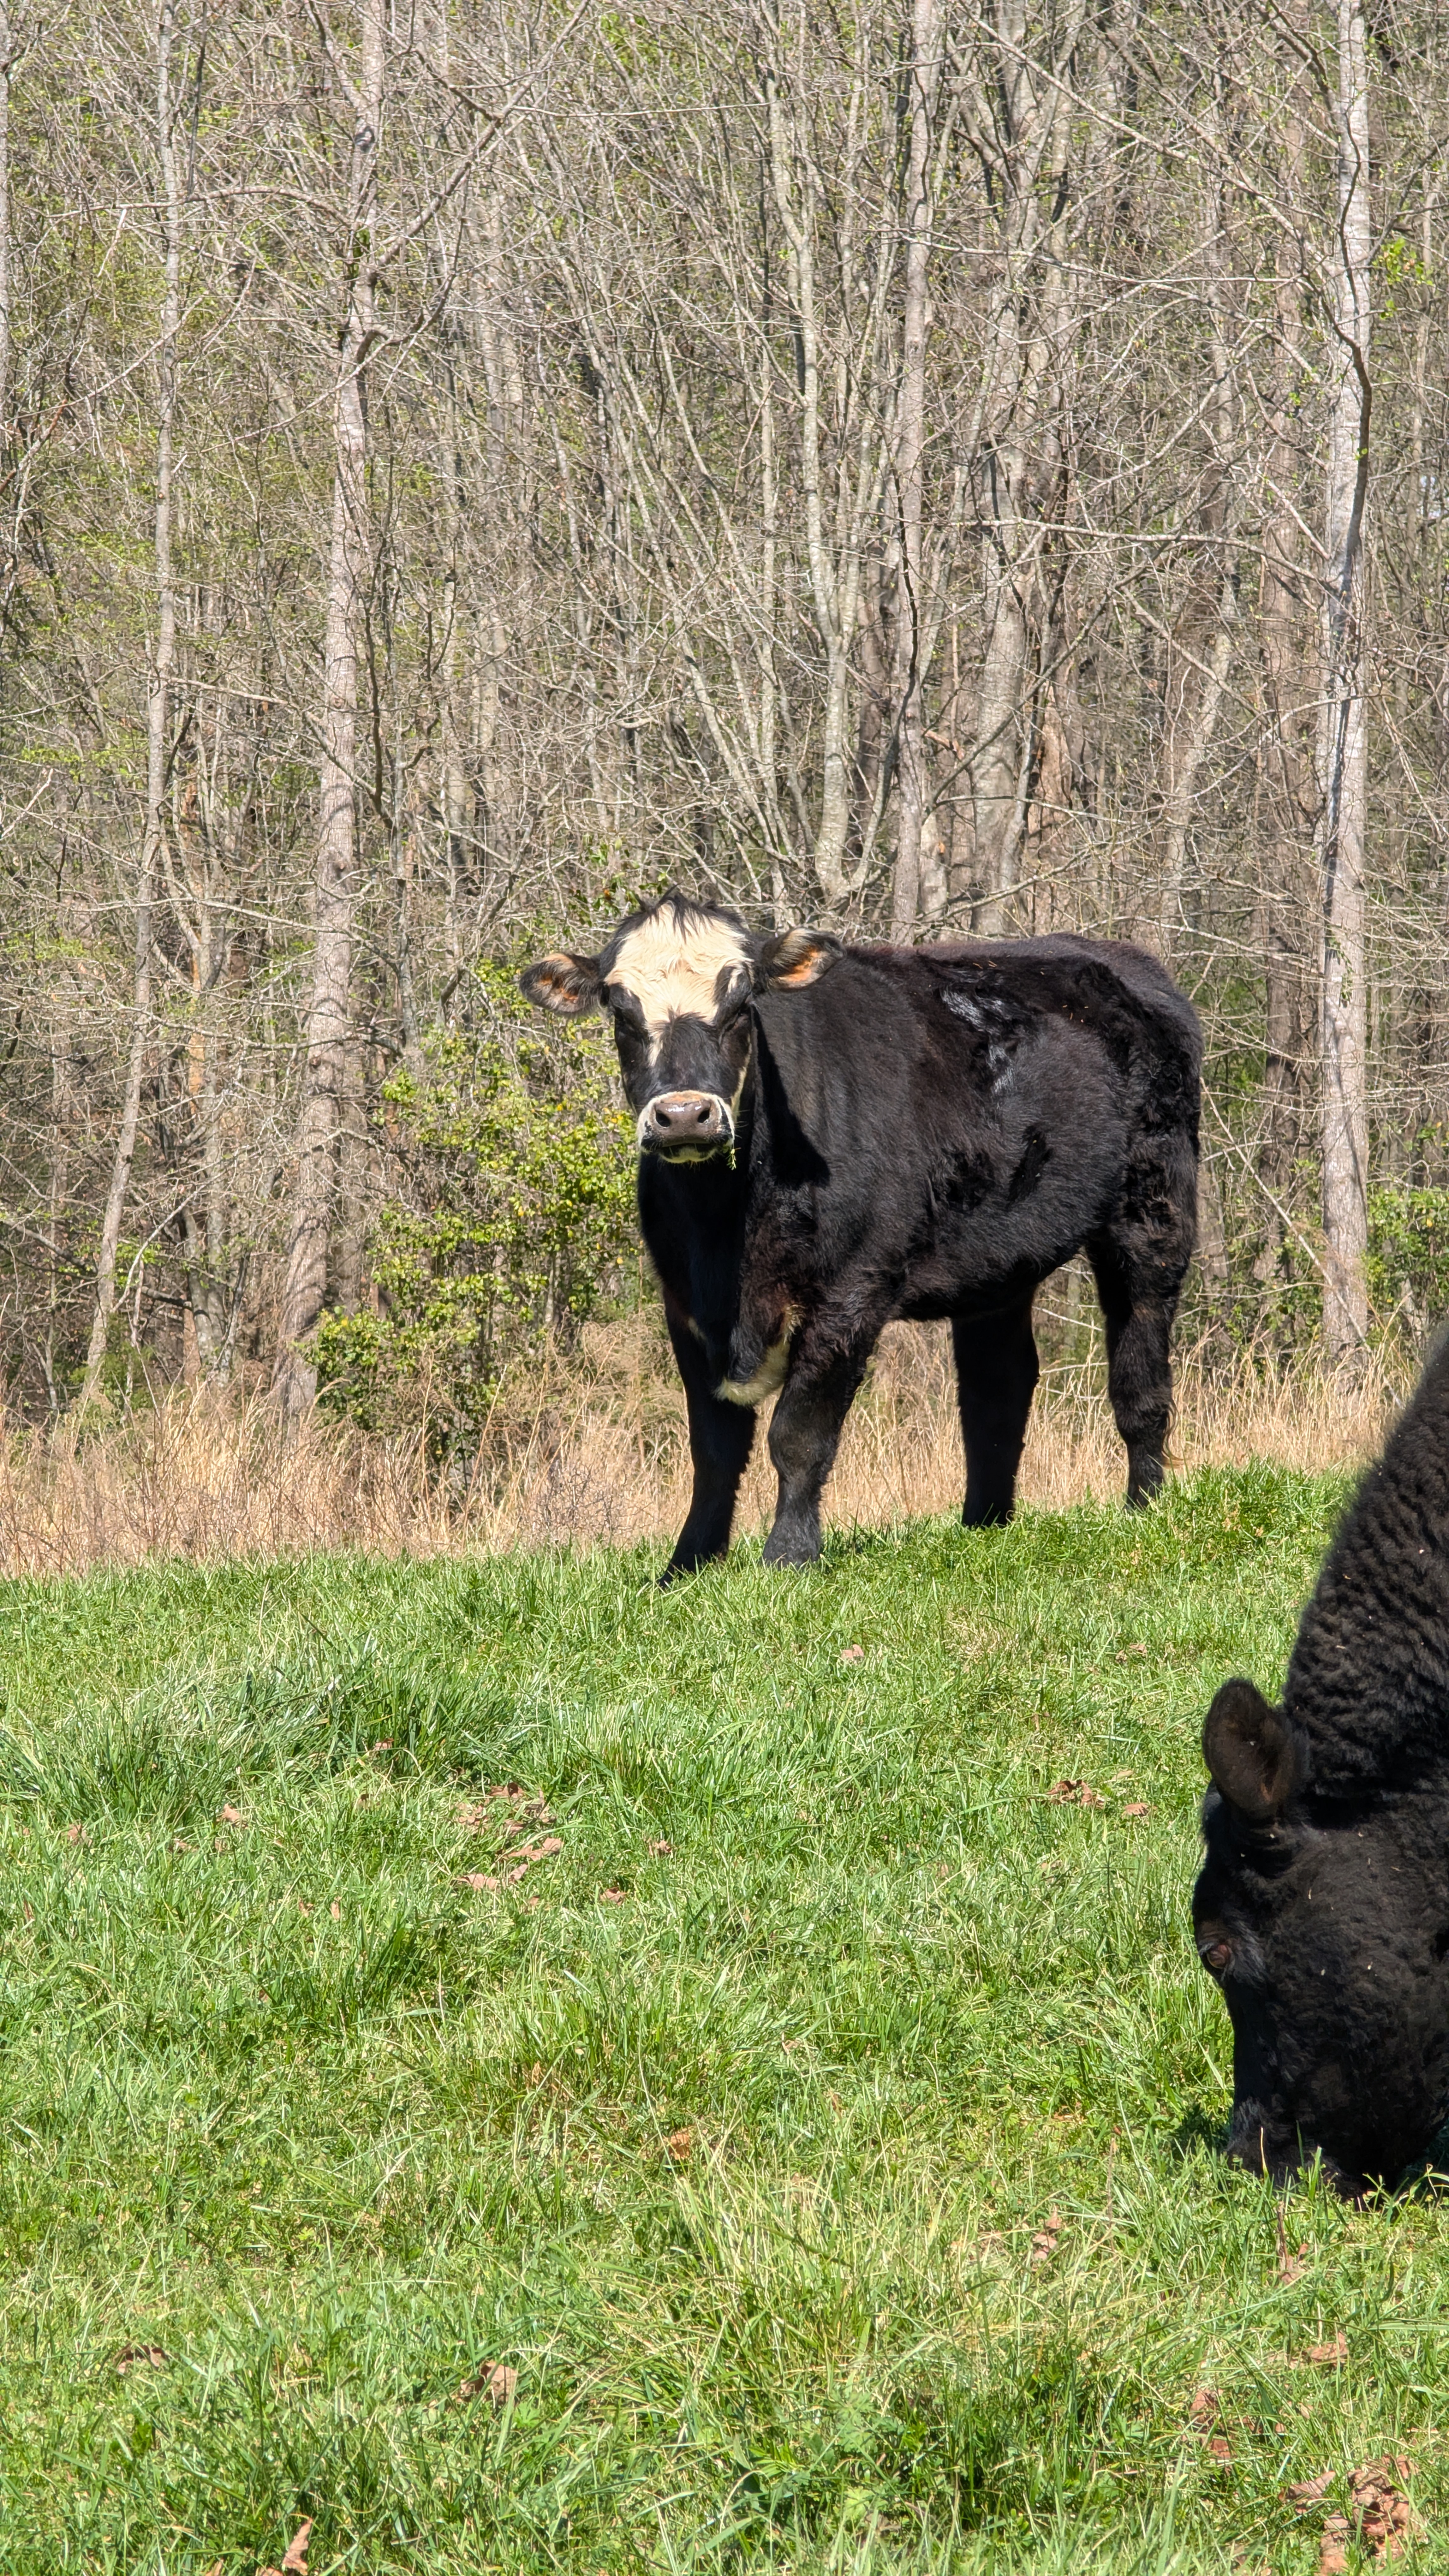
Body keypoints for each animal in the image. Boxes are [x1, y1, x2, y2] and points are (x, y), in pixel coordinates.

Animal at [521, 891, 1200, 1578]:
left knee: (1139, 1372)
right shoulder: (684, 1305)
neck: (725, 1234)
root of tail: (1124, 959)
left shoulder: (850, 1293)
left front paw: (789, 1555)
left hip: (1154, 1210)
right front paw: (687, 1565)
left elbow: (798, 1435)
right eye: (622, 1010)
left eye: (742, 1005)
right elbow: (714, 1448)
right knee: (997, 1388)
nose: (685, 1116)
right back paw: (983, 1524)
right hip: (999, 1262)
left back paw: (1143, 1506)